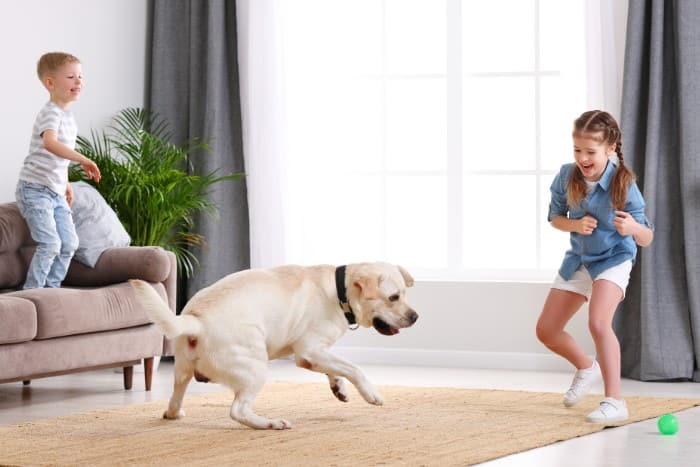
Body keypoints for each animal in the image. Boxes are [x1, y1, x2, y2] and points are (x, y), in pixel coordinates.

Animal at [129, 262, 418, 430]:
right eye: (394, 297)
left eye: (405, 294)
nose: (415, 316)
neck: (339, 291)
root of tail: (195, 321)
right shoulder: (310, 350)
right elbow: (354, 368)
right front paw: (372, 394)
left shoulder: (315, 354)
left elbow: (337, 368)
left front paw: (339, 387)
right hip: (256, 368)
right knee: (237, 410)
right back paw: (269, 423)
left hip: (182, 372)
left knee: (174, 398)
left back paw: (173, 414)